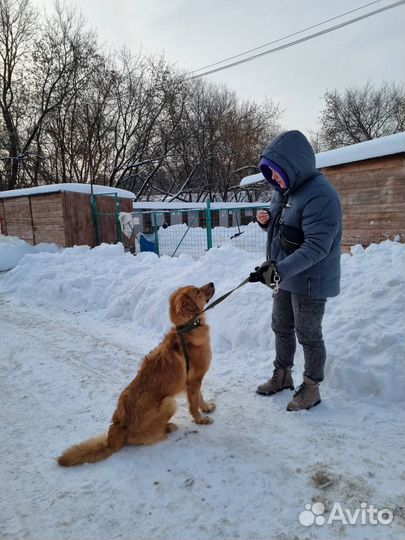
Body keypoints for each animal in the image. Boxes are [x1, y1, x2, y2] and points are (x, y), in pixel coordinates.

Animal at [57, 280, 215, 466]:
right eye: (197, 291)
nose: (212, 283)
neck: (188, 329)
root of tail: (120, 427)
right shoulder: (193, 380)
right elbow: (194, 403)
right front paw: (200, 419)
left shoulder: (195, 380)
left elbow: (200, 397)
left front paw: (206, 408)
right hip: (169, 402)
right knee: (148, 435)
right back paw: (168, 427)